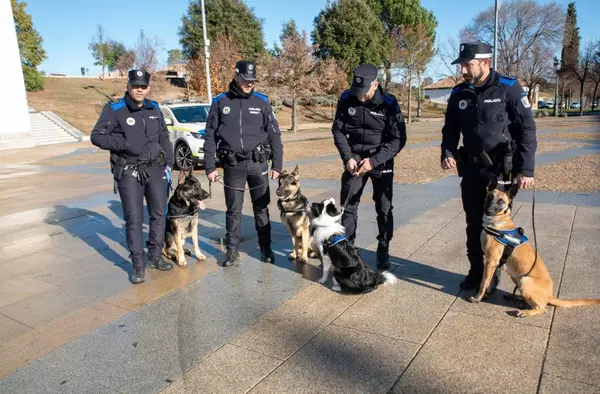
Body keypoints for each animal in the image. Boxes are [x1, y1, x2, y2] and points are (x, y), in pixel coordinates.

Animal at [468, 179, 600, 318]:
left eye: (501, 201)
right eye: (489, 197)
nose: (488, 210)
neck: (497, 224)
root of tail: (550, 295)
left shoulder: (491, 261)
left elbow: (484, 283)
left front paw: (477, 298)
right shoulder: (493, 263)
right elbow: (489, 281)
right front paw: (485, 295)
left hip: (525, 281)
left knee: (542, 308)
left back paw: (525, 312)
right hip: (517, 278)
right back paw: (513, 297)